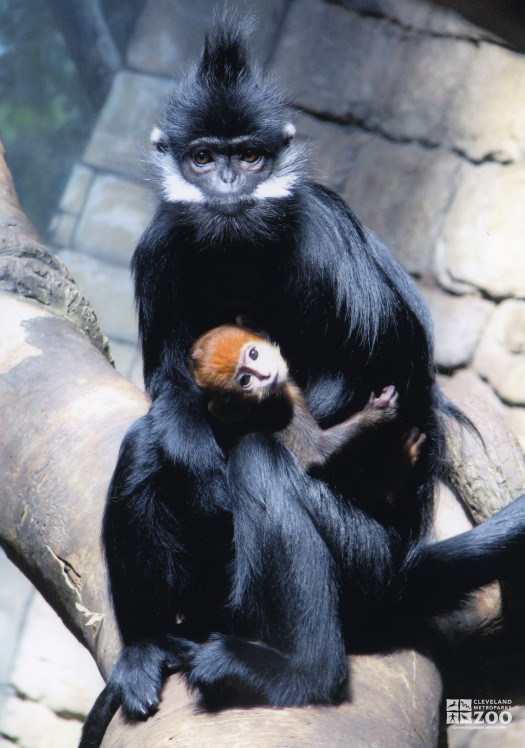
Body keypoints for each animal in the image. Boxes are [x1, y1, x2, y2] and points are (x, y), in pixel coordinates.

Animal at [189, 324, 426, 494]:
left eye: (253, 354)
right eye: (245, 380)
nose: (266, 375)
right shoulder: (282, 411)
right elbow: (316, 453)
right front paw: (376, 413)